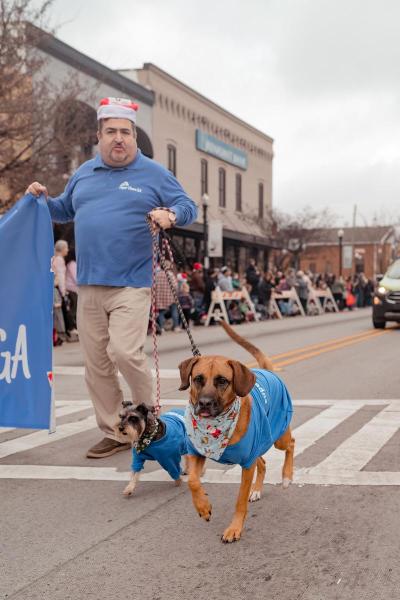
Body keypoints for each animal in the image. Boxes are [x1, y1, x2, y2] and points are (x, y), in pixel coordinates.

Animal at [179, 324, 294, 544]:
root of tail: (268, 371)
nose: (204, 404)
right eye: (198, 379)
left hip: (278, 436)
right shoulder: (197, 452)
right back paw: (256, 490)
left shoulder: (247, 463)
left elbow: (240, 500)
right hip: (260, 442)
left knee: (291, 443)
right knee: (263, 463)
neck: (214, 428)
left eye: (222, 381)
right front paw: (203, 507)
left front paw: (234, 528)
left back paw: (286, 476)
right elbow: (192, 481)